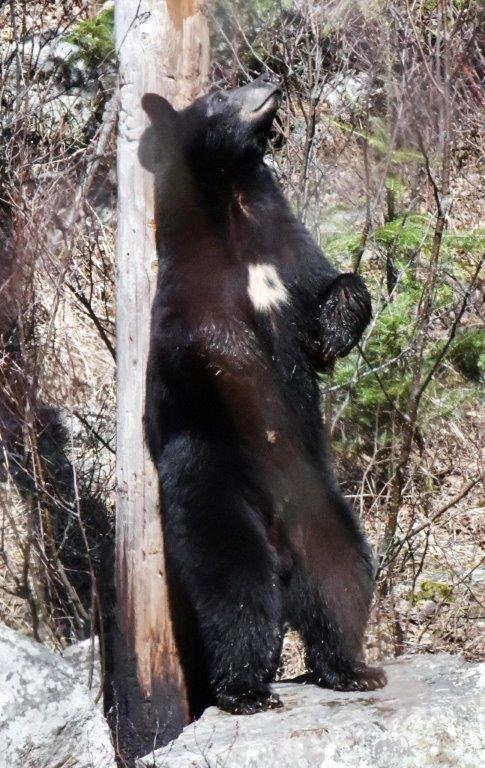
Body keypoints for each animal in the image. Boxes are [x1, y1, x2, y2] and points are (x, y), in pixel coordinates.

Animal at [140, 72, 386, 717]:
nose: (270, 81)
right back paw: (247, 690)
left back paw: (352, 669)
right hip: (212, 492)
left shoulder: (286, 253)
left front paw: (331, 334)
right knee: (237, 594)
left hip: (325, 512)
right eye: (219, 97)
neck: (235, 208)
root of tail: (280, 545)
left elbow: (334, 281)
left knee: (343, 579)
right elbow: (201, 342)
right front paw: (244, 362)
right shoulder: (185, 290)